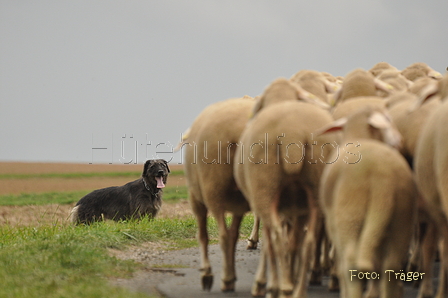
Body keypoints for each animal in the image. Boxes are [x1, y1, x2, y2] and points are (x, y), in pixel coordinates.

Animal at [182, 96, 256, 292]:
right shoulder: (239, 206)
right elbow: (234, 235)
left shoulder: (196, 200)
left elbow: (203, 236)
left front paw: (207, 273)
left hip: (213, 191)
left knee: (222, 235)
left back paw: (224, 278)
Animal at [234, 99, 340, 296]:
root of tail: (293, 134)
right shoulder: (297, 210)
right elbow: (294, 242)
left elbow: (271, 243)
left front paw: (265, 283)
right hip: (315, 194)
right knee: (308, 241)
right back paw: (299, 288)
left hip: (265, 189)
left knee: (277, 239)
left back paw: (283, 286)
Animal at [318, 107, 416, 298]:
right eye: (388, 119)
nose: (401, 140)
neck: (359, 135)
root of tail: (382, 178)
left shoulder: (333, 225)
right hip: (401, 218)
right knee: (391, 265)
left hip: (350, 216)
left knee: (351, 263)